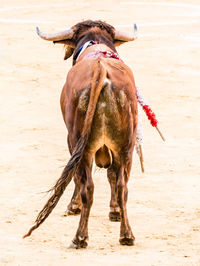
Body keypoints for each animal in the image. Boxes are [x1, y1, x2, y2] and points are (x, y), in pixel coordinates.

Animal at [23, 19, 138, 248]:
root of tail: (101, 71)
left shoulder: (72, 141)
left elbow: (77, 176)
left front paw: (73, 206)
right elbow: (113, 176)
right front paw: (114, 211)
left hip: (80, 144)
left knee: (88, 186)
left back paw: (80, 237)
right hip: (126, 147)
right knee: (123, 186)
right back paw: (126, 235)